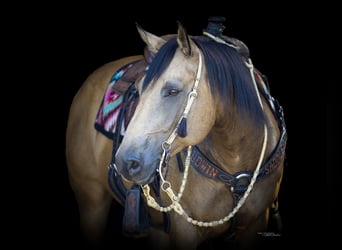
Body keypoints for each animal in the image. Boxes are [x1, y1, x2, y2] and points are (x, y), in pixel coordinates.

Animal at [65, 16, 288, 249]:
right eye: (139, 89)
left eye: (173, 91)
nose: (126, 162)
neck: (236, 165)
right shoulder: (184, 229)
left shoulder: (256, 223)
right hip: (92, 202)